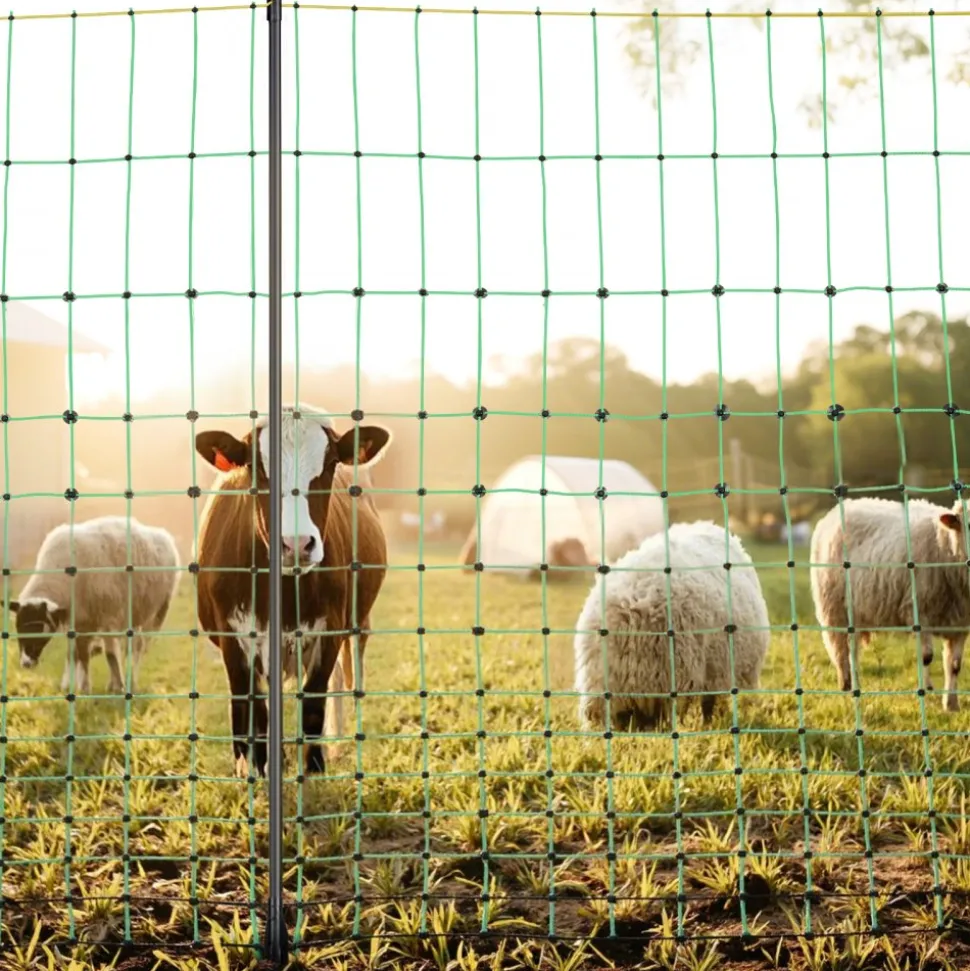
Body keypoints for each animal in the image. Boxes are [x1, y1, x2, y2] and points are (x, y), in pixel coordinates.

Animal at [4, 515, 180, 694]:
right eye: (18, 627)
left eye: (40, 628)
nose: (26, 663)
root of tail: (165, 536)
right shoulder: (79, 620)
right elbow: (77, 654)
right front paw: (78, 687)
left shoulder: (107, 617)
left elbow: (108, 654)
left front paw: (112, 686)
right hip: (133, 613)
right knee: (128, 646)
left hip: (158, 611)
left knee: (139, 647)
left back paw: (130, 682)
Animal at [809, 496, 970, 711]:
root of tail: (839, 508)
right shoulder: (919, 611)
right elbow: (926, 656)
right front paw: (925, 694)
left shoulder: (960, 623)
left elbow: (955, 665)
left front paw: (951, 705)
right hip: (835, 608)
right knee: (842, 650)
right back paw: (847, 686)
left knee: (852, 650)